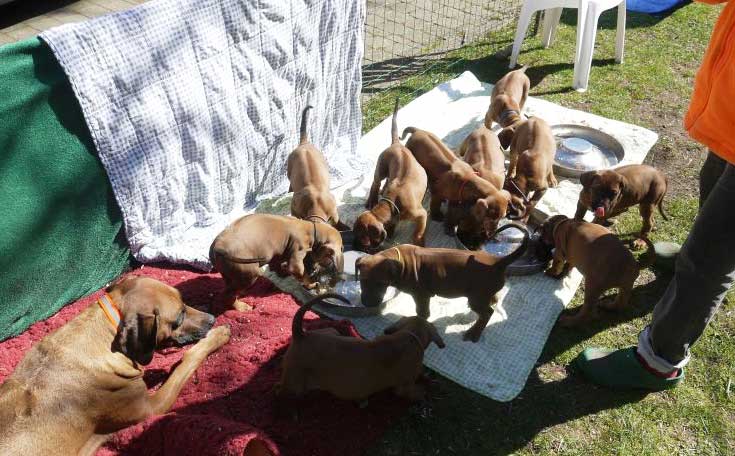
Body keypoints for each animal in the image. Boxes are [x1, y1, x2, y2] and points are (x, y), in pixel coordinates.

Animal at [0, 274, 230, 456]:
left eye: (184, 302)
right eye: (179, 318)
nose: (212, 318)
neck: (107, 327)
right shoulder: (152, 407)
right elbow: (186, 363)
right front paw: (217, 335)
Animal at [208, 215, 344, 310]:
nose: (315, 270)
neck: (311, 230)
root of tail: (217, 247)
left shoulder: (279, 253)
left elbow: (278, 264)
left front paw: (281, 272)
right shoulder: (297, 258)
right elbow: (302, 274)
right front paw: (311, 284)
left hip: (229, 272)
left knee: (230, 287)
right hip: (248, 273)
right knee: (228, 294)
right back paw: (241, 306)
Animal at [274, 294, 442, 400]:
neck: (410, 336)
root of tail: (300, 334)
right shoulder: (404, 387)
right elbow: (412, 392)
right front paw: (423, 391)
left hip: (332, 331)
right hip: (295, 384)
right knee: (283, 391)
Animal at [354, 99, 428, 253]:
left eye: (363, 241)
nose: (355, 246)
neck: (391, 203)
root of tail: (397, 144)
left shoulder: (421, 214)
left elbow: (418, 231)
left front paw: (418, 241)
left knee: (383, 181)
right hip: (381, 167)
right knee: (376, 183)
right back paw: (372, 199)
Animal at [356, 224, 528, 342]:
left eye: (381, 284)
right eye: (362, 281)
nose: (367, 304)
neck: (399, 260)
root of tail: (497, 261)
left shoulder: (421, 296)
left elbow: (422, 313)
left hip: (477, 297)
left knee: (487, 313)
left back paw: (474, 333)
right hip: (483, 293)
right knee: (492, 301)